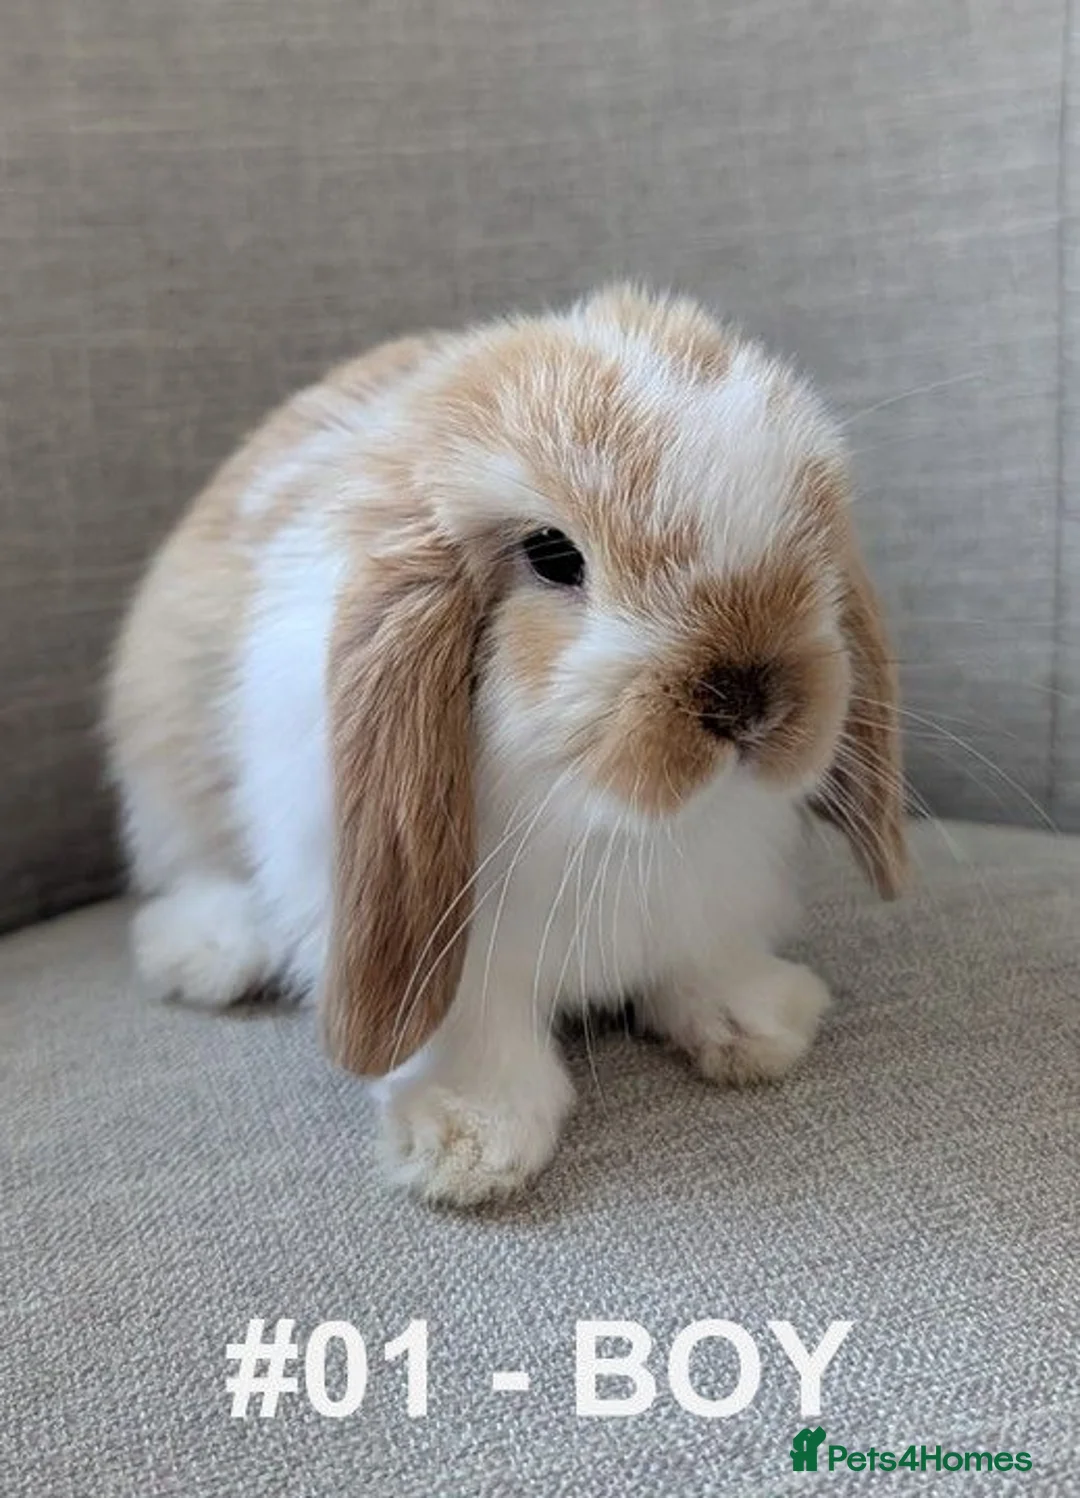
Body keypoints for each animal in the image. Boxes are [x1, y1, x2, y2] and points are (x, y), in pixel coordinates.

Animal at [104, 285, 906, 1206]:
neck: (606, 822)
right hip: (170, 784)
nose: (750, 701)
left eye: (809, 532)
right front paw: (469, 1145)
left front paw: (759, 1025)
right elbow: (478, 1038)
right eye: (552, 554)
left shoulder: (711, 901)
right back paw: (210, 951)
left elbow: (704, 961)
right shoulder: (446, 951)